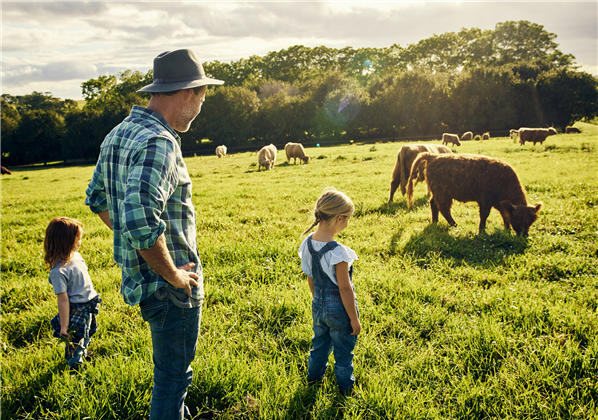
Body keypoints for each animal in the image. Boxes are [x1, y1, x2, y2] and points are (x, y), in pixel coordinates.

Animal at [408, 153, 544, 235]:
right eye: (517, 219)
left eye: (531, 221)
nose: (524, 235)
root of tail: (433, 156)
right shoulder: (485, 201)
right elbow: (484, 215)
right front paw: (482, 231)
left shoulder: (500, 204)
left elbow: (505, 215)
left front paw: (506, 229)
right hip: (442, 194)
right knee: (444, 209)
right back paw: (454, 224)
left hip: (438, 193)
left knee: (433, 204)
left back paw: (435, 222)